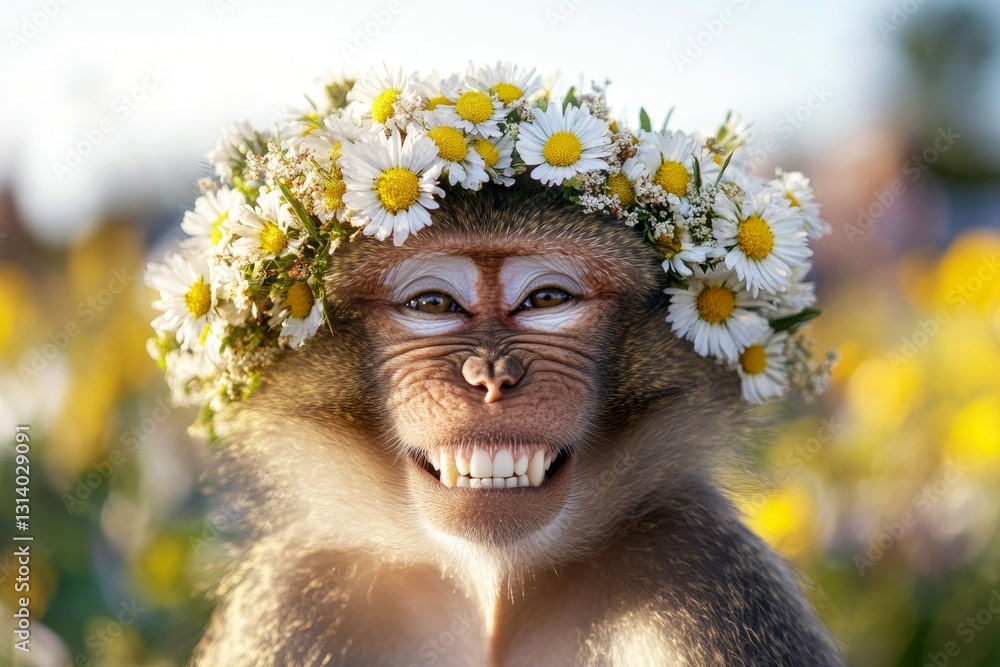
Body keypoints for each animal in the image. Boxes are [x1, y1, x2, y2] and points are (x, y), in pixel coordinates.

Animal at [190, 180, 845, 666]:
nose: (490, 377)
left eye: (546, 299)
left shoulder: (708, 575)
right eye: (432, 304)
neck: (493, 592)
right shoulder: (290, 595)